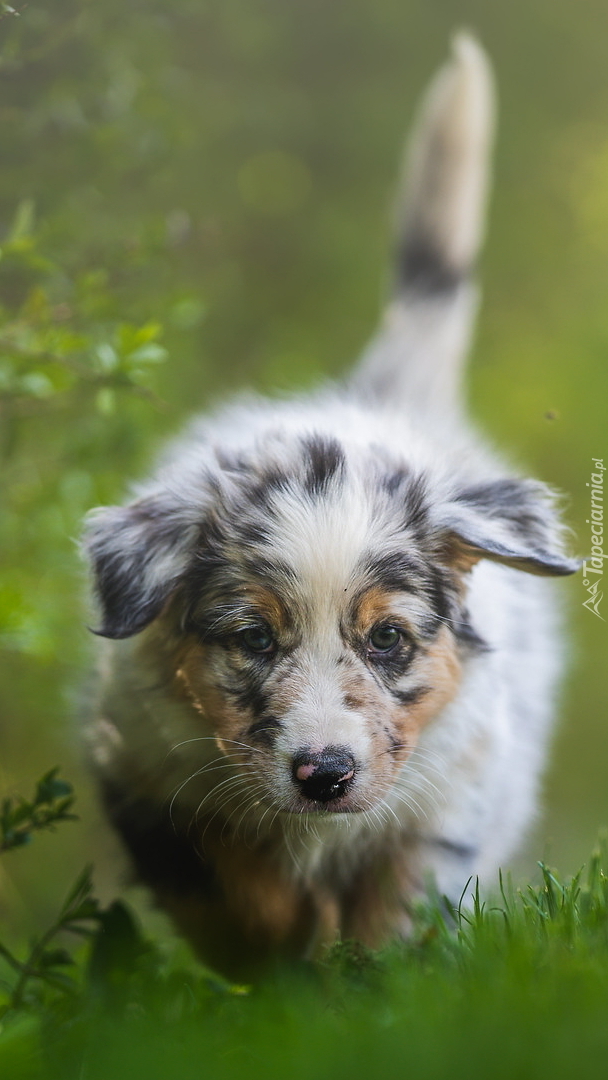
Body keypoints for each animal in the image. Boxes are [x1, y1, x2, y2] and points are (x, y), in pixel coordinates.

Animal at [83, 35, 578, 980]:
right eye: (252, 640)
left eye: (387, 640)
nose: (324, 775)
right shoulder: (143, 771)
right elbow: (232, 892)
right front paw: (281, 963)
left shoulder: (446, 800)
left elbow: (397, 914)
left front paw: (370, 983)